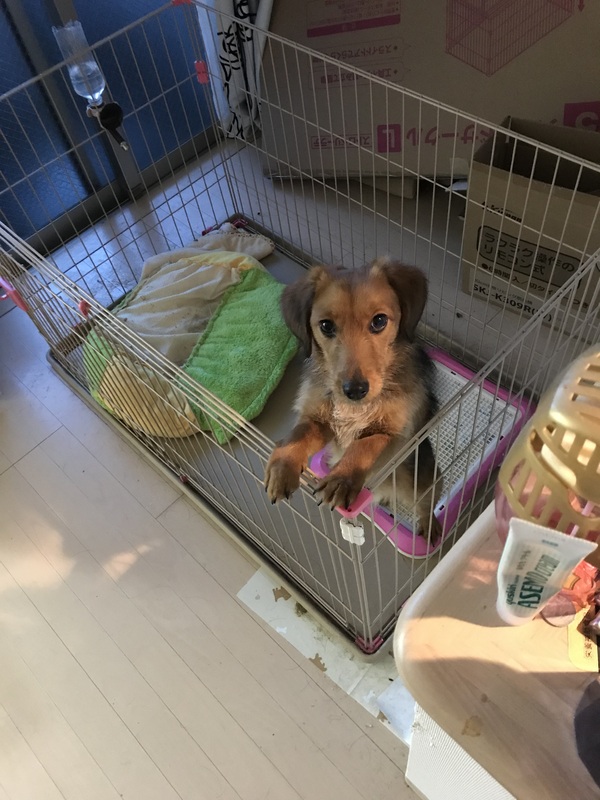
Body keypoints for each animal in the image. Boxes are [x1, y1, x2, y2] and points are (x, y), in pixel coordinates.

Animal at [264, 257, 441, 540]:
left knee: (428, 504)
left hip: (421, 482)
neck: (355, 407)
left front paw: (341, 480)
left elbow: (364, 445)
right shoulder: (319, 420)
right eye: (326, 326)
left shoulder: (394, 434)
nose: (355, 390)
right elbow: (298, 434)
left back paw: (430, 529)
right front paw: (282, 466)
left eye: (379, 321)